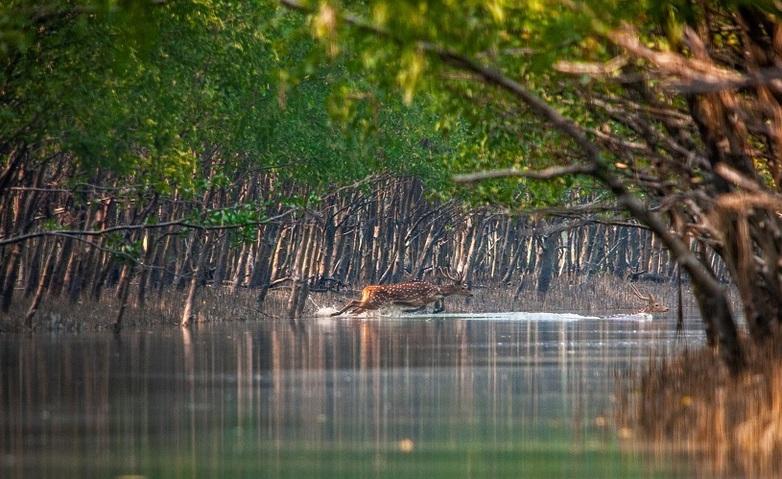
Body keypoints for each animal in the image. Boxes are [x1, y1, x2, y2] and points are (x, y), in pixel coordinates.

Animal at [330, 269, 472, 316]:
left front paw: (437, 310)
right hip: (376, 302)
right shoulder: (423, 298)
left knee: (357, 307)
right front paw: (406, 311)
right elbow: (422, 307)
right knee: (354, 302)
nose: (471, 294)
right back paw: (334, 313)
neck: (436, 289)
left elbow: (441, 303)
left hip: (371, 301)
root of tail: (367, 289)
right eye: (463, 287)